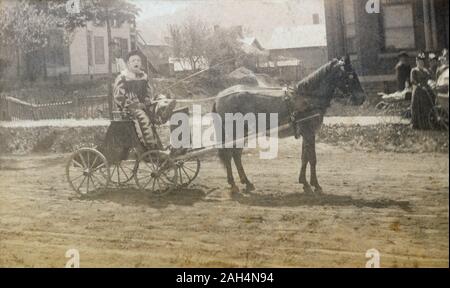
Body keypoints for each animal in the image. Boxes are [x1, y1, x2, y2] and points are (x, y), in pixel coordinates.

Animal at [214, 55, 366, 196]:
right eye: (350, 75)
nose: (362, 98)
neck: (307, 99)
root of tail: (220, 96)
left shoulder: (307, 134)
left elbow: (305, 157)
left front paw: (304, 183)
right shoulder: (309, 133)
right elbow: (312, 158)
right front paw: (316, 185)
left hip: (242, 133)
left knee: (236, 155)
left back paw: (247, 183)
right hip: (234, 132)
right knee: (229, 154)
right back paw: (234, 185)